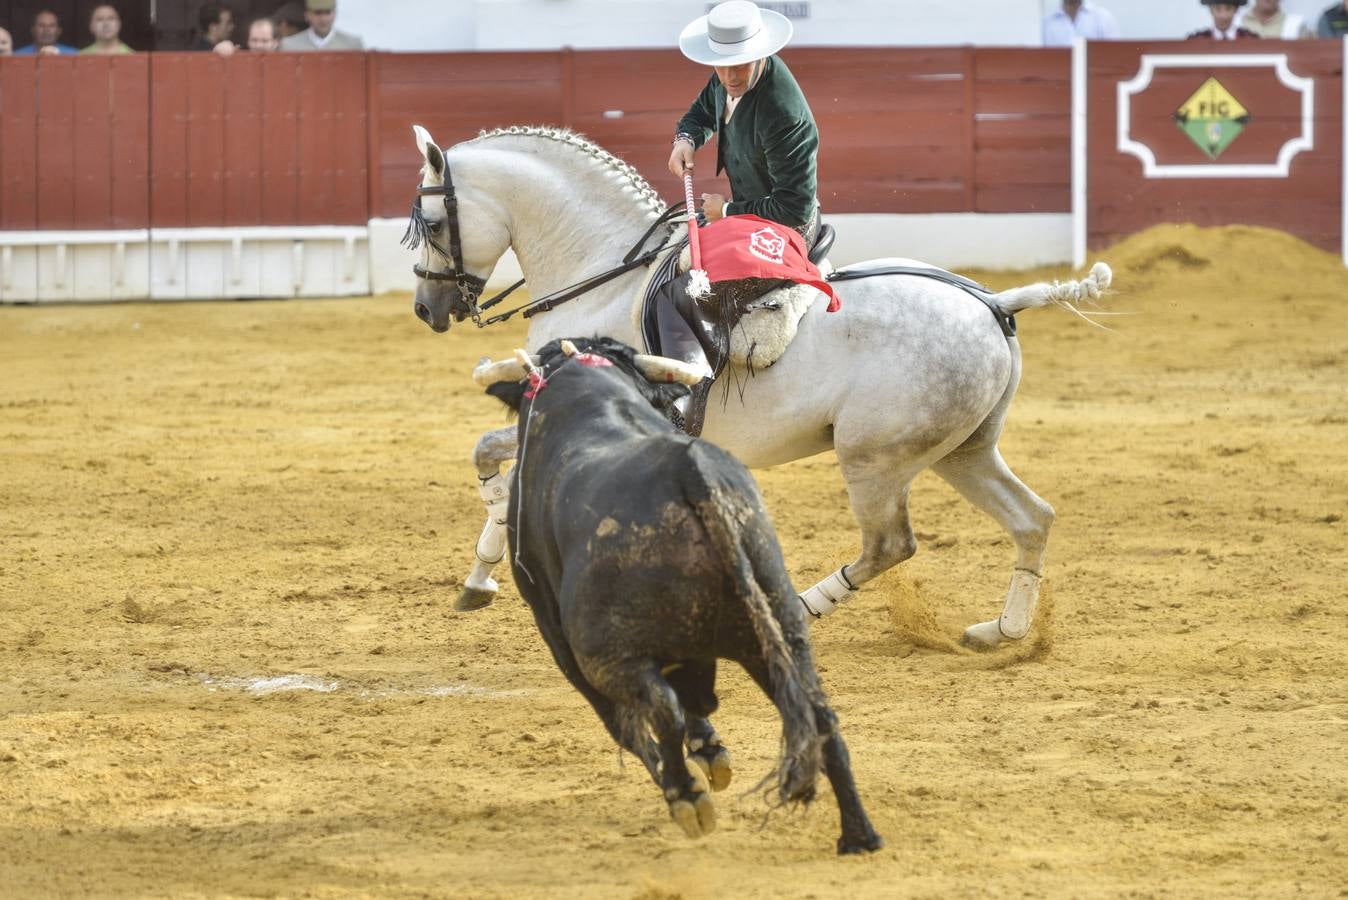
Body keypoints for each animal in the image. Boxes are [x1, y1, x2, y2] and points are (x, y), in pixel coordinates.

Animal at [404, 124, 1110, 646]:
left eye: (432, 224)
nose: (426, 309)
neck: (603, 274)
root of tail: (993, 301)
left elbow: (493, 457)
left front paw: (488, 567)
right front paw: (481, 576)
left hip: (875, 458)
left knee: (890, 544)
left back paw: (799, 608)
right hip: (963, 452)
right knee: (1032, 518)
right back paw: (1004, 631)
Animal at [485, 334, 884, 856]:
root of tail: (691, 474)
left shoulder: (558, 635)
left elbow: (629, 724)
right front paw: (711, 752)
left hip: (606, 655)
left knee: (658, 709)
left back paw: (685, 797)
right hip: (776, 629)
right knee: (821, 717)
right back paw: (858, 835)